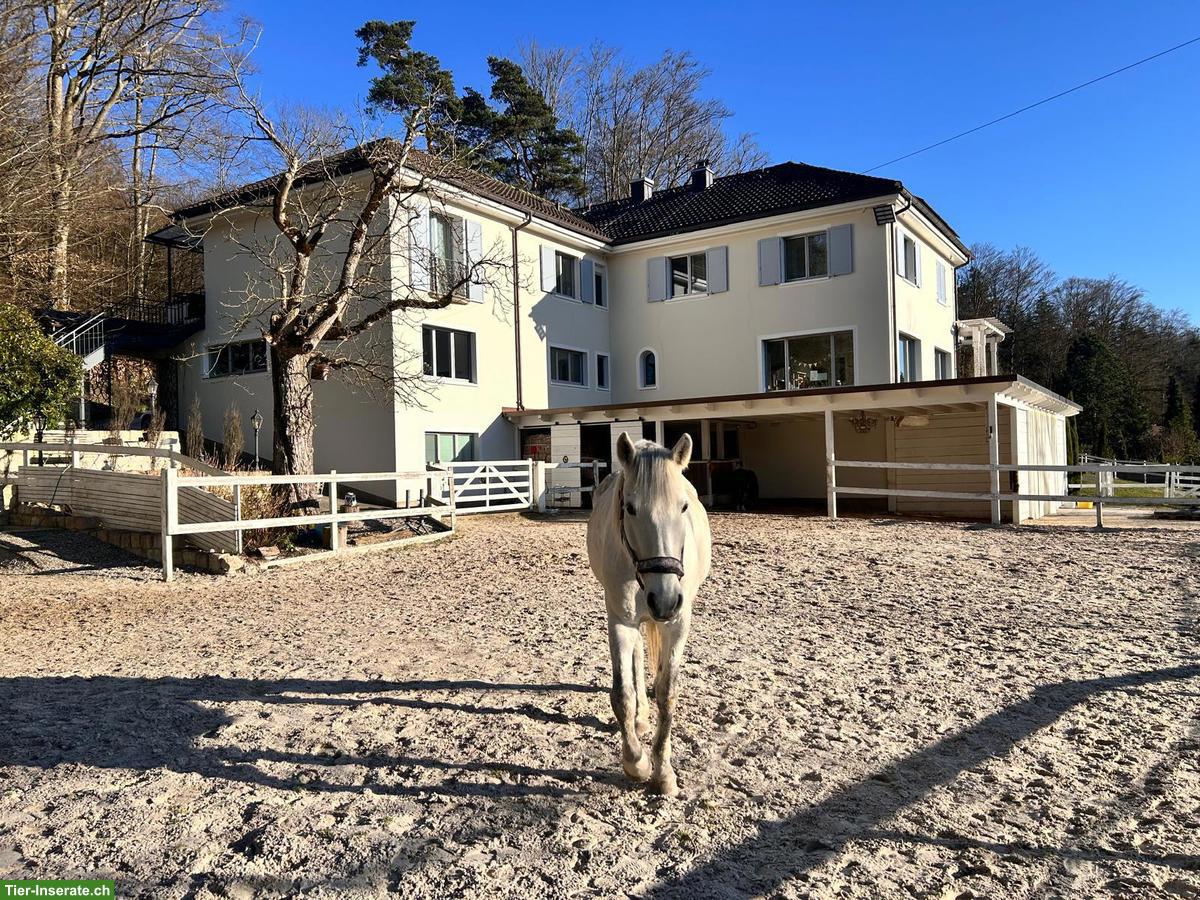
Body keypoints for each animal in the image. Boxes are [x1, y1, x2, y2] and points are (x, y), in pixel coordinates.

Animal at [586, 432, 712, 796]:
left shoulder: (678, 623)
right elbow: (622, 695)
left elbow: (668, 694)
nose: (665, 600)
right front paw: (637, 763)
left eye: (683, 506)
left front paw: (664, 773)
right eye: (630, 508)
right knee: (638, 658)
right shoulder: (620, 620)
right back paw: (642, 716)